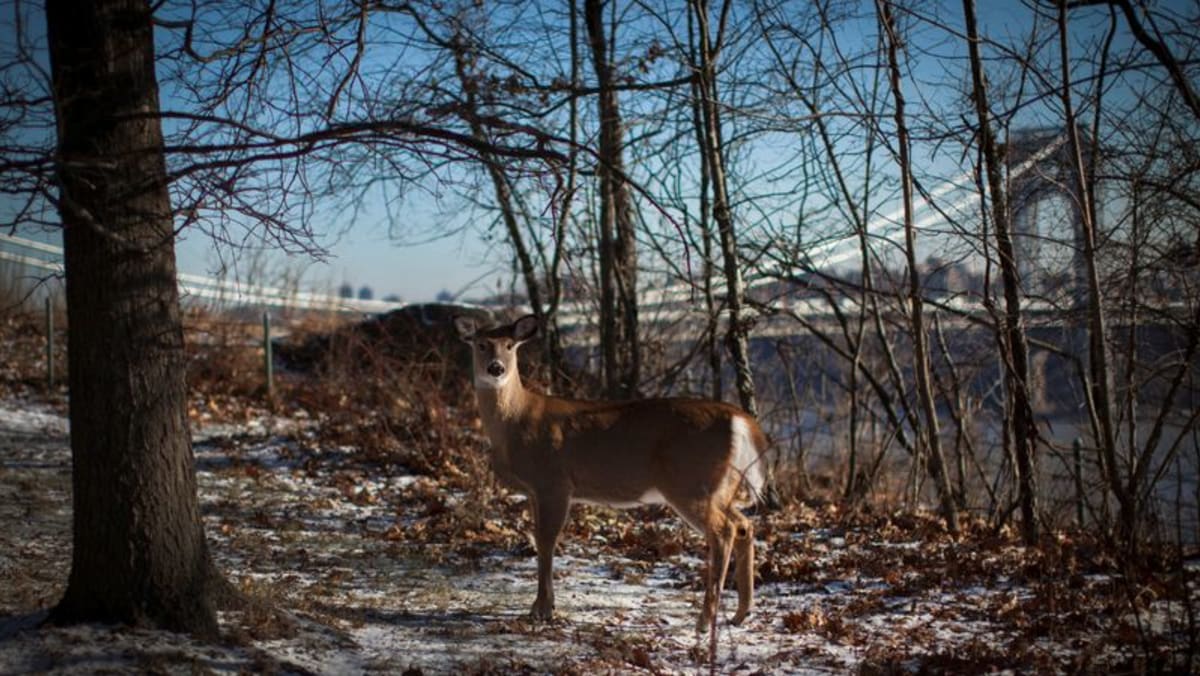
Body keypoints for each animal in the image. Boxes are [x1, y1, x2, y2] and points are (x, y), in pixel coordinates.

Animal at [451, 314, 768, 633]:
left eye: (509, 345)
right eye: (481, 344)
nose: (496, 368)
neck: (516, 421)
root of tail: (742, 421)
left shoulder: (554, 482)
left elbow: (546, 541)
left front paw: (542, 608)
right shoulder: (534, 491)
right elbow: (539, 538)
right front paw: (542, 606)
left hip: (691, 481)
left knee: (724, 531)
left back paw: (704, 621)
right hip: (720, 486)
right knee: (743, 525)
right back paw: (741, 613)